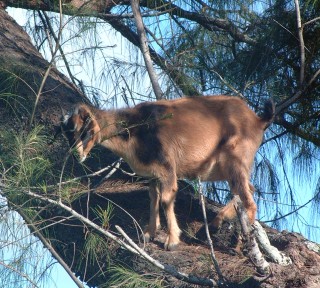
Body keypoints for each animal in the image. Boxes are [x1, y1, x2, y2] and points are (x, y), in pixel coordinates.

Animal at [61, 95, 274, 251]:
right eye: (67, 133)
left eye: (85, 130)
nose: (76, 154)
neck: (136, 128)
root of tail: (258, 119)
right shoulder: (153, 174)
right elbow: (153, 197)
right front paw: (149, 233)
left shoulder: (167, 167)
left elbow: (166, 199)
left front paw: (171, 241)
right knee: (248, 189)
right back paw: (214, 224)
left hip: (236, 158)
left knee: (250, 200)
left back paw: (240, 243)